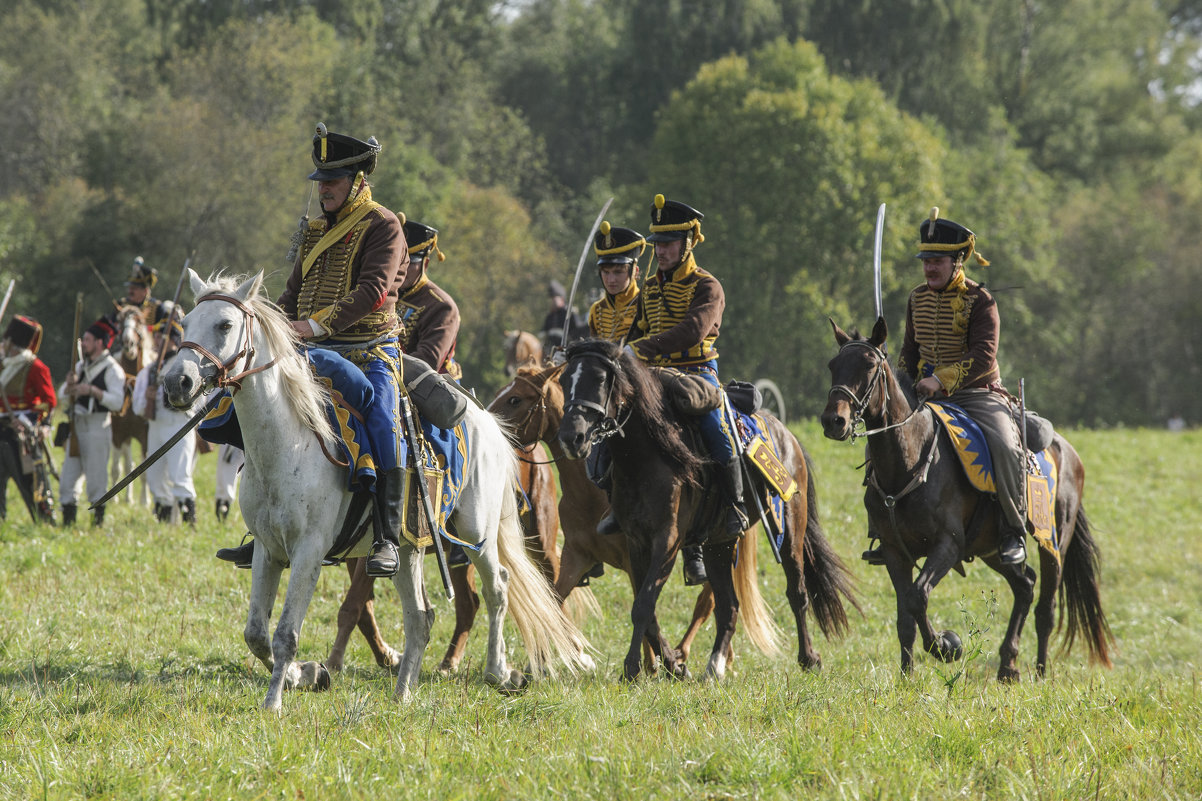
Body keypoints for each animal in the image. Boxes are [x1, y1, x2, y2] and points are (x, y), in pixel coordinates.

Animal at [322, 442, 560, 673]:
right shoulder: (356, 557)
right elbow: (363, 610)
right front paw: (388, 657)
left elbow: (352, 607)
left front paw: (334, 662)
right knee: (468, 603)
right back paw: (450, 662)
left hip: (531, 541)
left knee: (548, 585)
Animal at [490, 363, 721, 668]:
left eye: (515, 399)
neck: (590, 493)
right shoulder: (577, 557)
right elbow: (554, 603)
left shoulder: (638, 559)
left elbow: (645, 609)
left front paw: (653, 663)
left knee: (710, 601)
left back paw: (701, 658)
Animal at [552, 336, 855, 678]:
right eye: (564, 380)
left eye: (601, 379)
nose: (572, 437)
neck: (645, 457)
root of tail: (786, 434)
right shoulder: (636, 543)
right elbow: (648, 608)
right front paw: (672, 664)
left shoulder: (667, 542)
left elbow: (643, 605)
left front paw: (633, 667)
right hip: (719, 545)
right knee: (728, 605)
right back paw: (715, 665)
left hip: (790, 532)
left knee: (797, 592)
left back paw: (808, 657)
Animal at [822, 315, 1110, 678]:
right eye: (833, 365)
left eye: (869, 365)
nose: (834, 421)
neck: (912, 459)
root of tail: (1067, 450)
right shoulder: (894, 552)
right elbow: (904, 617)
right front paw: (906, 675)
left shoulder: (948, 545)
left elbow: (917, 597)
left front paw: (945, 646)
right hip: (993, 549)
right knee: (1025, 586)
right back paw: (1008, 665)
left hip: (1053, 542)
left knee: (1046, 605)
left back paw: (1041, 671)